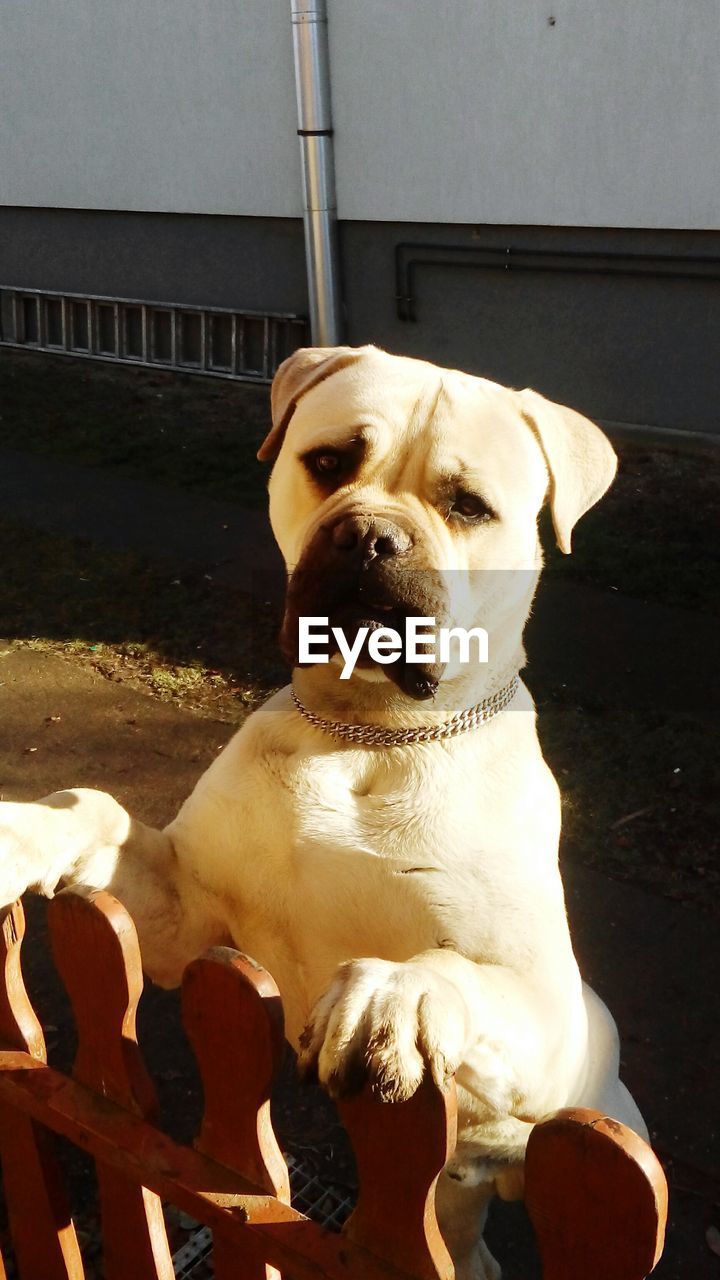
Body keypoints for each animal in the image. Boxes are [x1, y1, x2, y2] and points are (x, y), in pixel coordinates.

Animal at [0, 345, 640, 1274]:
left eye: (469, 506)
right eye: (330, 462)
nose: (370, 536)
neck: (367, 734)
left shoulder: (541, 1002)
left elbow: (452, 969)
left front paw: (392, 991)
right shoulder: (183, 915)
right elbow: (99, 807)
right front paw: (20, 831)